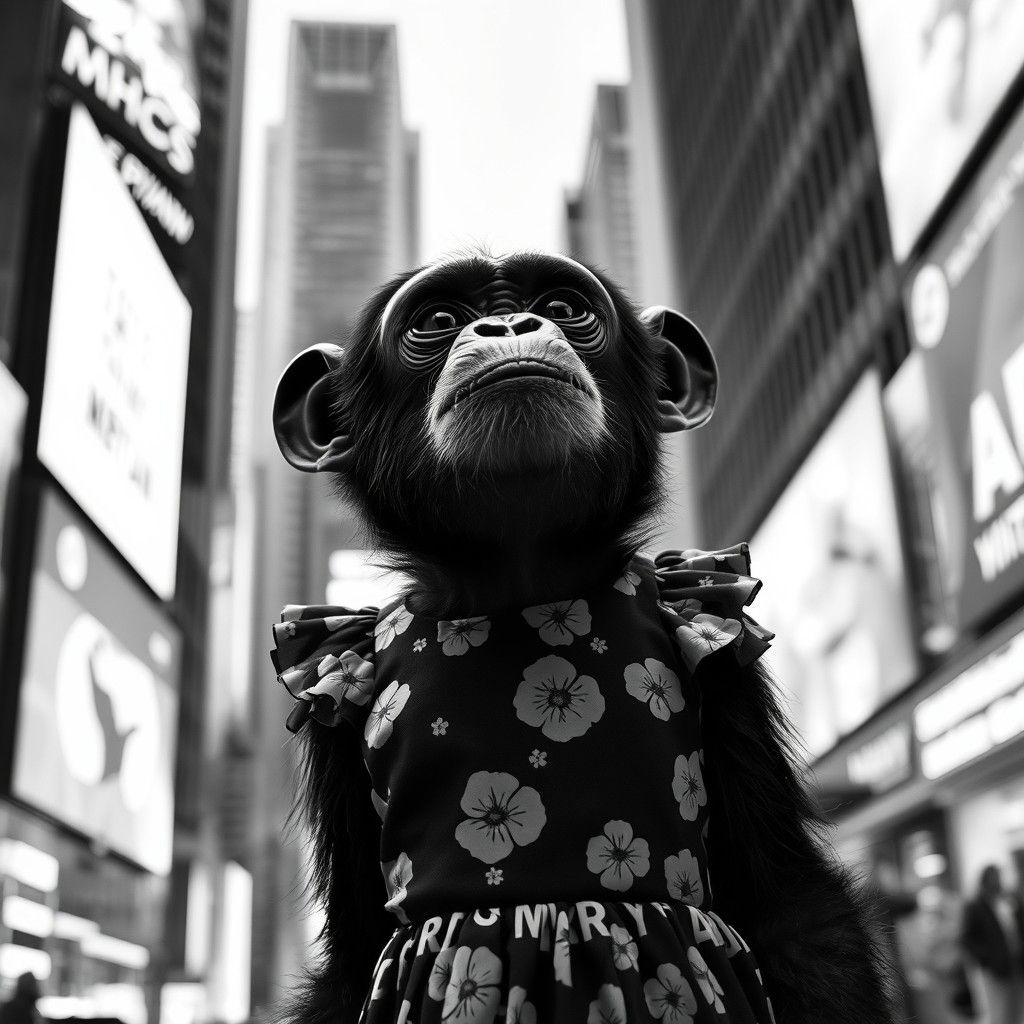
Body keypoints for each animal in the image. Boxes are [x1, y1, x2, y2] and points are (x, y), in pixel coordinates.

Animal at [270, 252, 895, 1024]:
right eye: (438, 320)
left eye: (565, 307)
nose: (509, 325)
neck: (520, 581)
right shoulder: (333, 685)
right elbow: (354, 957)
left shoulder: (718, 640)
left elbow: (792, 906)